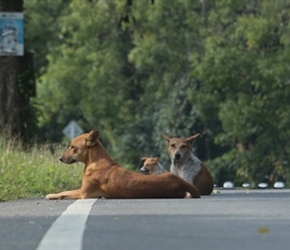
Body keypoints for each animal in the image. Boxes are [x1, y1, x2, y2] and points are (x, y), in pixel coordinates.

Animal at [45, 131, 201, 199]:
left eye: (73, 147)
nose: (59, 158)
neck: (95, 163)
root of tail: (180, 182)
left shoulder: (83, 192)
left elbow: (64, 192)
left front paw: (51, 195)